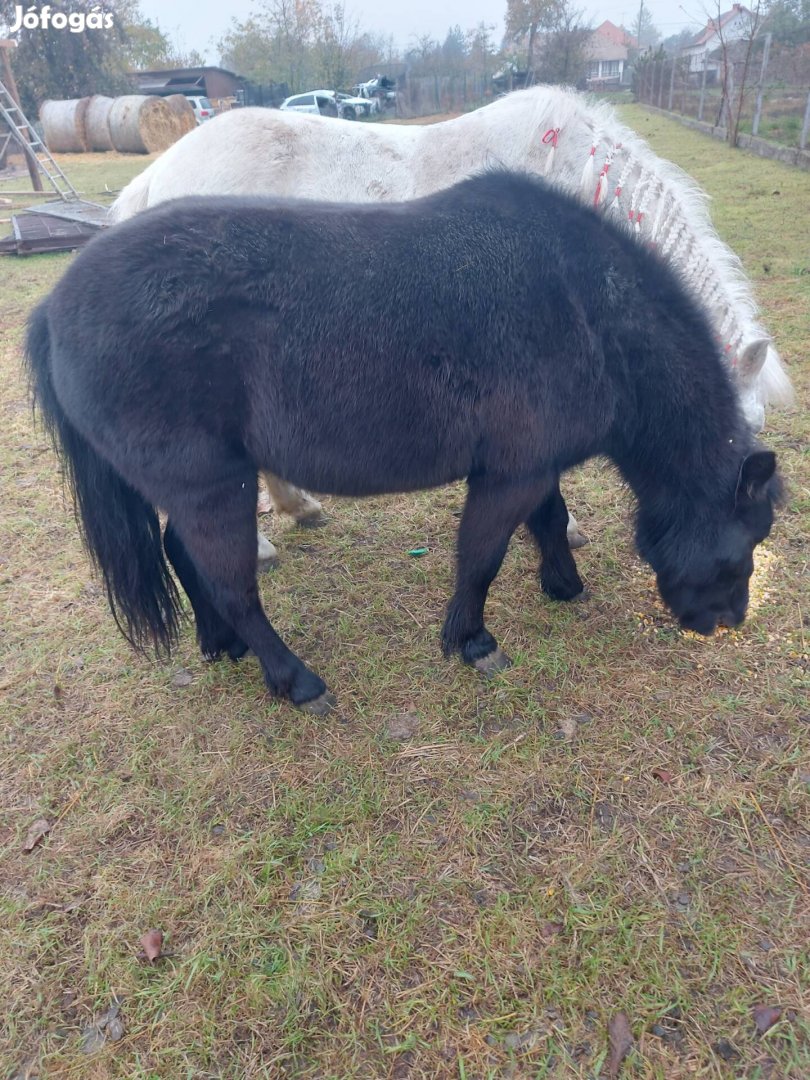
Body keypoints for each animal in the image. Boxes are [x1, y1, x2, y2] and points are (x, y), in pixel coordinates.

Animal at [28, 172, 781, 712]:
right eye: (744, 543)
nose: (726, 622)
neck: (590, 311)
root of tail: (55, 306)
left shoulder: (532, 466)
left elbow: (550, 521)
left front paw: (563, 586)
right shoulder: (509, 475)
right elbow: (480, 557)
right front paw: (472, 641)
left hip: (203, 488)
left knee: (183, 555)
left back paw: (221, 646)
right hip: (213, 488)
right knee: (232, 584)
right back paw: (296, 681)